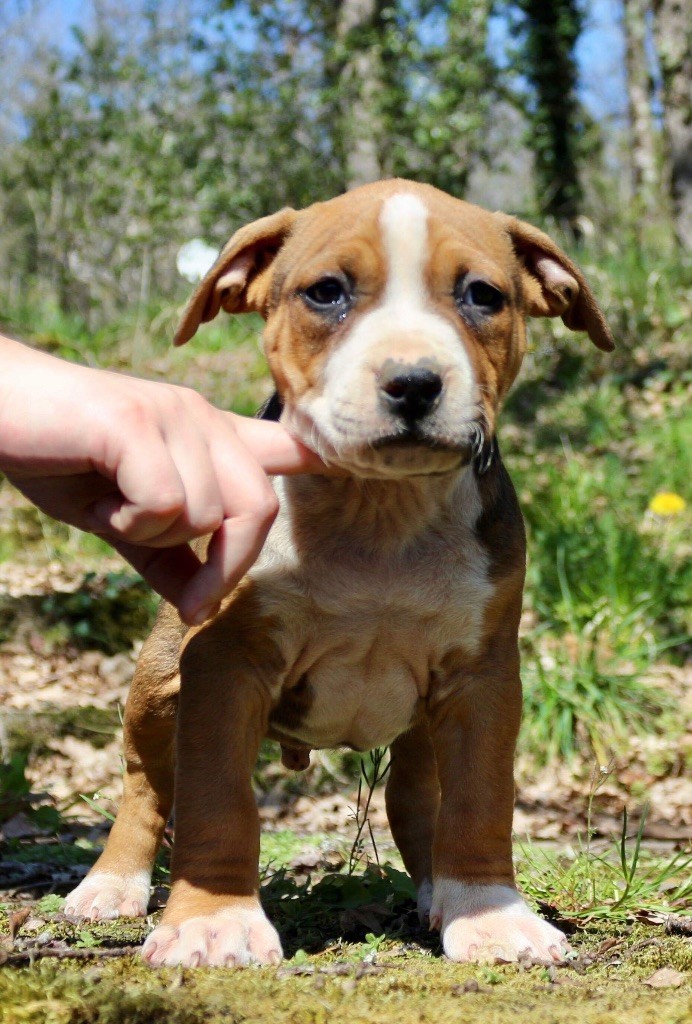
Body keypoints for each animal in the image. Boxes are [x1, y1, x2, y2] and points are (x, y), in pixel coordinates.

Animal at [65, 182, 614, 966]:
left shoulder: (482, 680)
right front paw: (213, 922)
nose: (413, 382)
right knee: (145, 784)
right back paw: (111, 886)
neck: (378, 511)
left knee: (417, 802)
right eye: (326, 293)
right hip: (157, 685)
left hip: (421, 731)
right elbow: (216, 802)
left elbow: (480, 802)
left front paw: (489, 915)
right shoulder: (222, 667)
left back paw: (441, 896)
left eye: (482, 295)